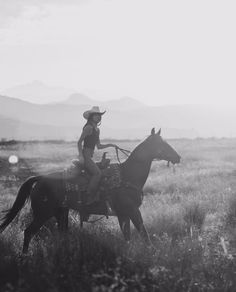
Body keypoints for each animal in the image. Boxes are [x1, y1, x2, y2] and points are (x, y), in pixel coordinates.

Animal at [0, 128, 181, 253]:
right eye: (162, 143)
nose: (178, 157)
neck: (128, 175)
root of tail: (40, 178)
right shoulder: (133, 211)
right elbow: (145, 235)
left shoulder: (123, 214)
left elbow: (128, 237)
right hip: (43, 213)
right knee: (28, 232)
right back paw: (24, 257)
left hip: (60, 212)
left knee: (60, 234)